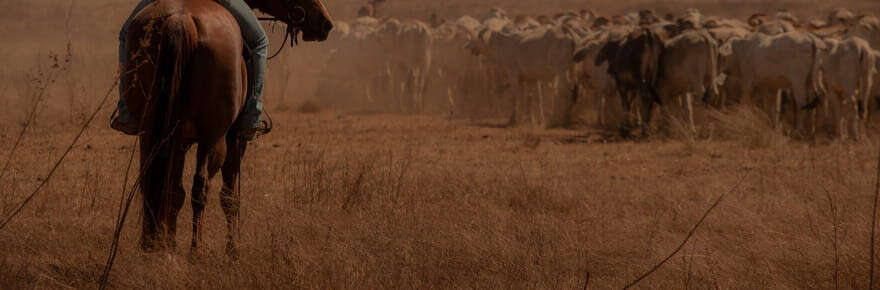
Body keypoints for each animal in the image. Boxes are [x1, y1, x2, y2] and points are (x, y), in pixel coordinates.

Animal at [120, 0, 334, 255]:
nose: (325, 22)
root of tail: (180, 20)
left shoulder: (177, 140)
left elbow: (172, 190)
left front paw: (168, 244)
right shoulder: (235, 139)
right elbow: (230, 195)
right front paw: (232, 250)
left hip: (152, 132)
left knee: (153, 182)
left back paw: (152, 246)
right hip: (214, 137)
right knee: (200, 187)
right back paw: (195, 251)